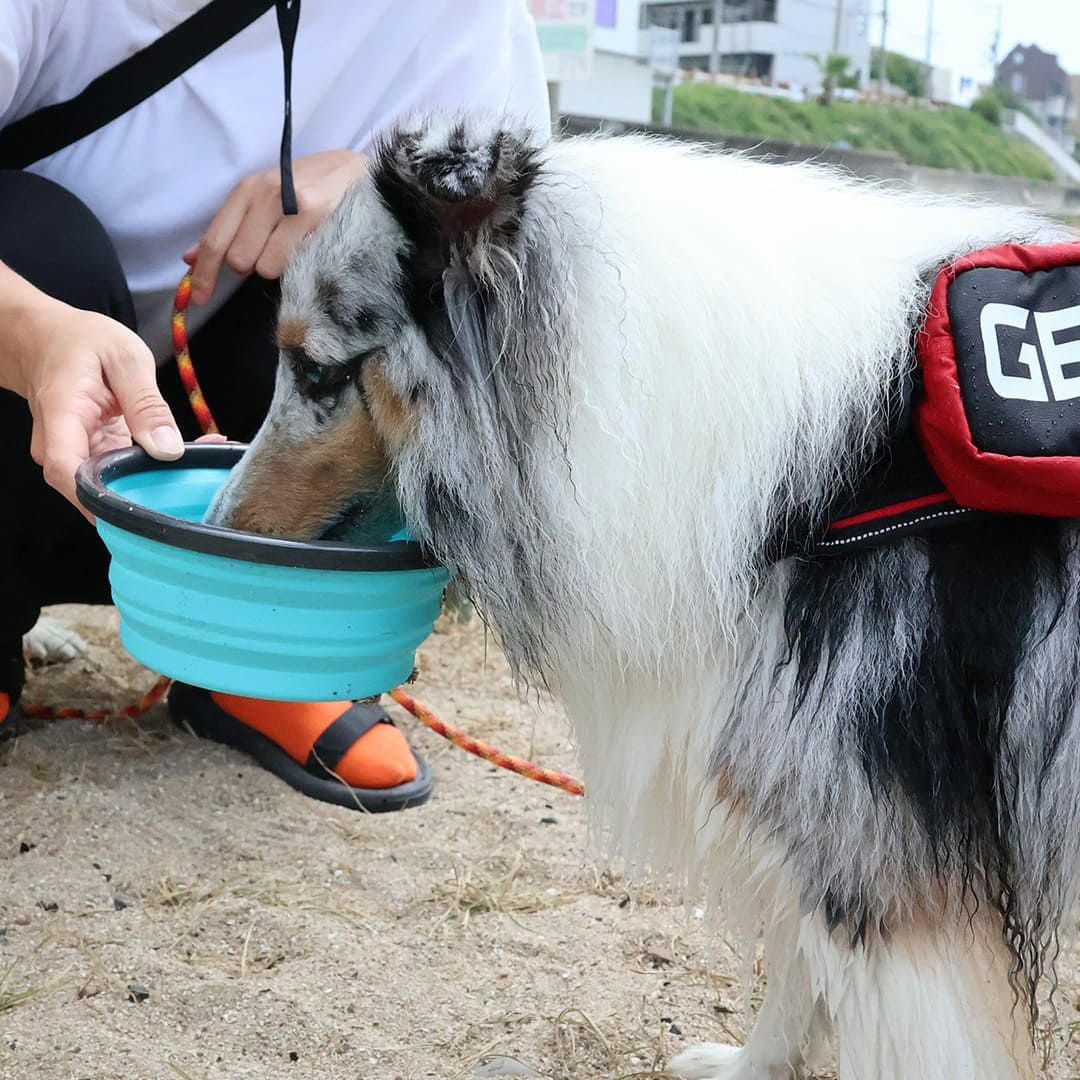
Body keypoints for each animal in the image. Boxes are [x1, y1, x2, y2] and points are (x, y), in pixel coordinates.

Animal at [207, 116, 1080, 1078]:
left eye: (317, 372)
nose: (218, 521)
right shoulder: (810, 793)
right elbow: (799, 971)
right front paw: (750, 1069)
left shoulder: (877, 842)